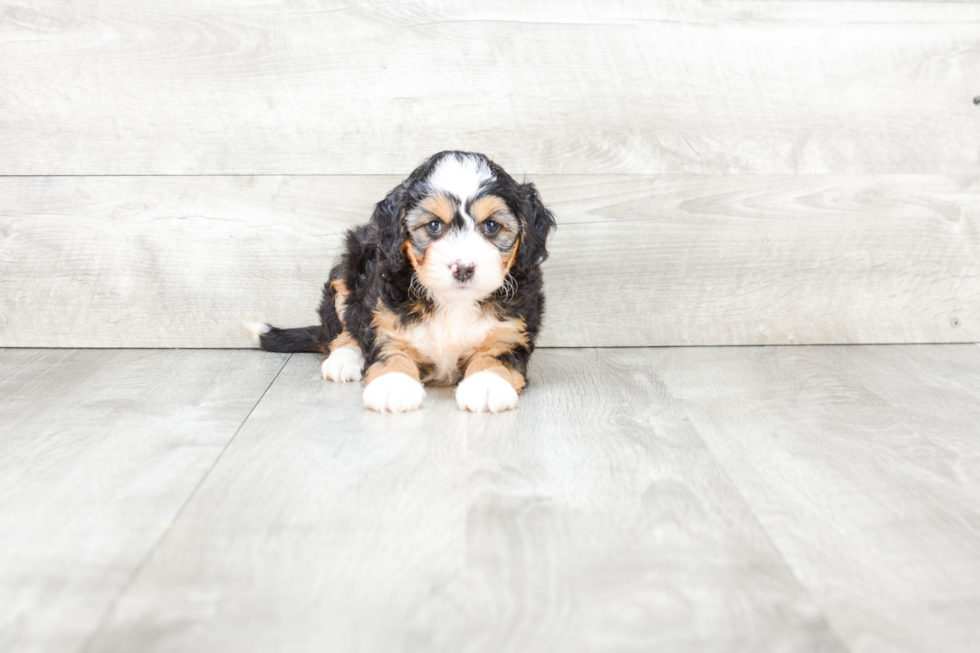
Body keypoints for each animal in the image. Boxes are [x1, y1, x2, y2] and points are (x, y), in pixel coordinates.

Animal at [245, 150, 556, 410]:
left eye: (491, 226)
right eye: (434, 226)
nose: (463, 268)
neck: (453, 301)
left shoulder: (513, 330)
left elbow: (496, 355)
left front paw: (487, 384)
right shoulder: (385, 317)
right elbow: (390, 349)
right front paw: (392, 384)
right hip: (347, 270)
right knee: (342, 328)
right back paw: (344, 359)